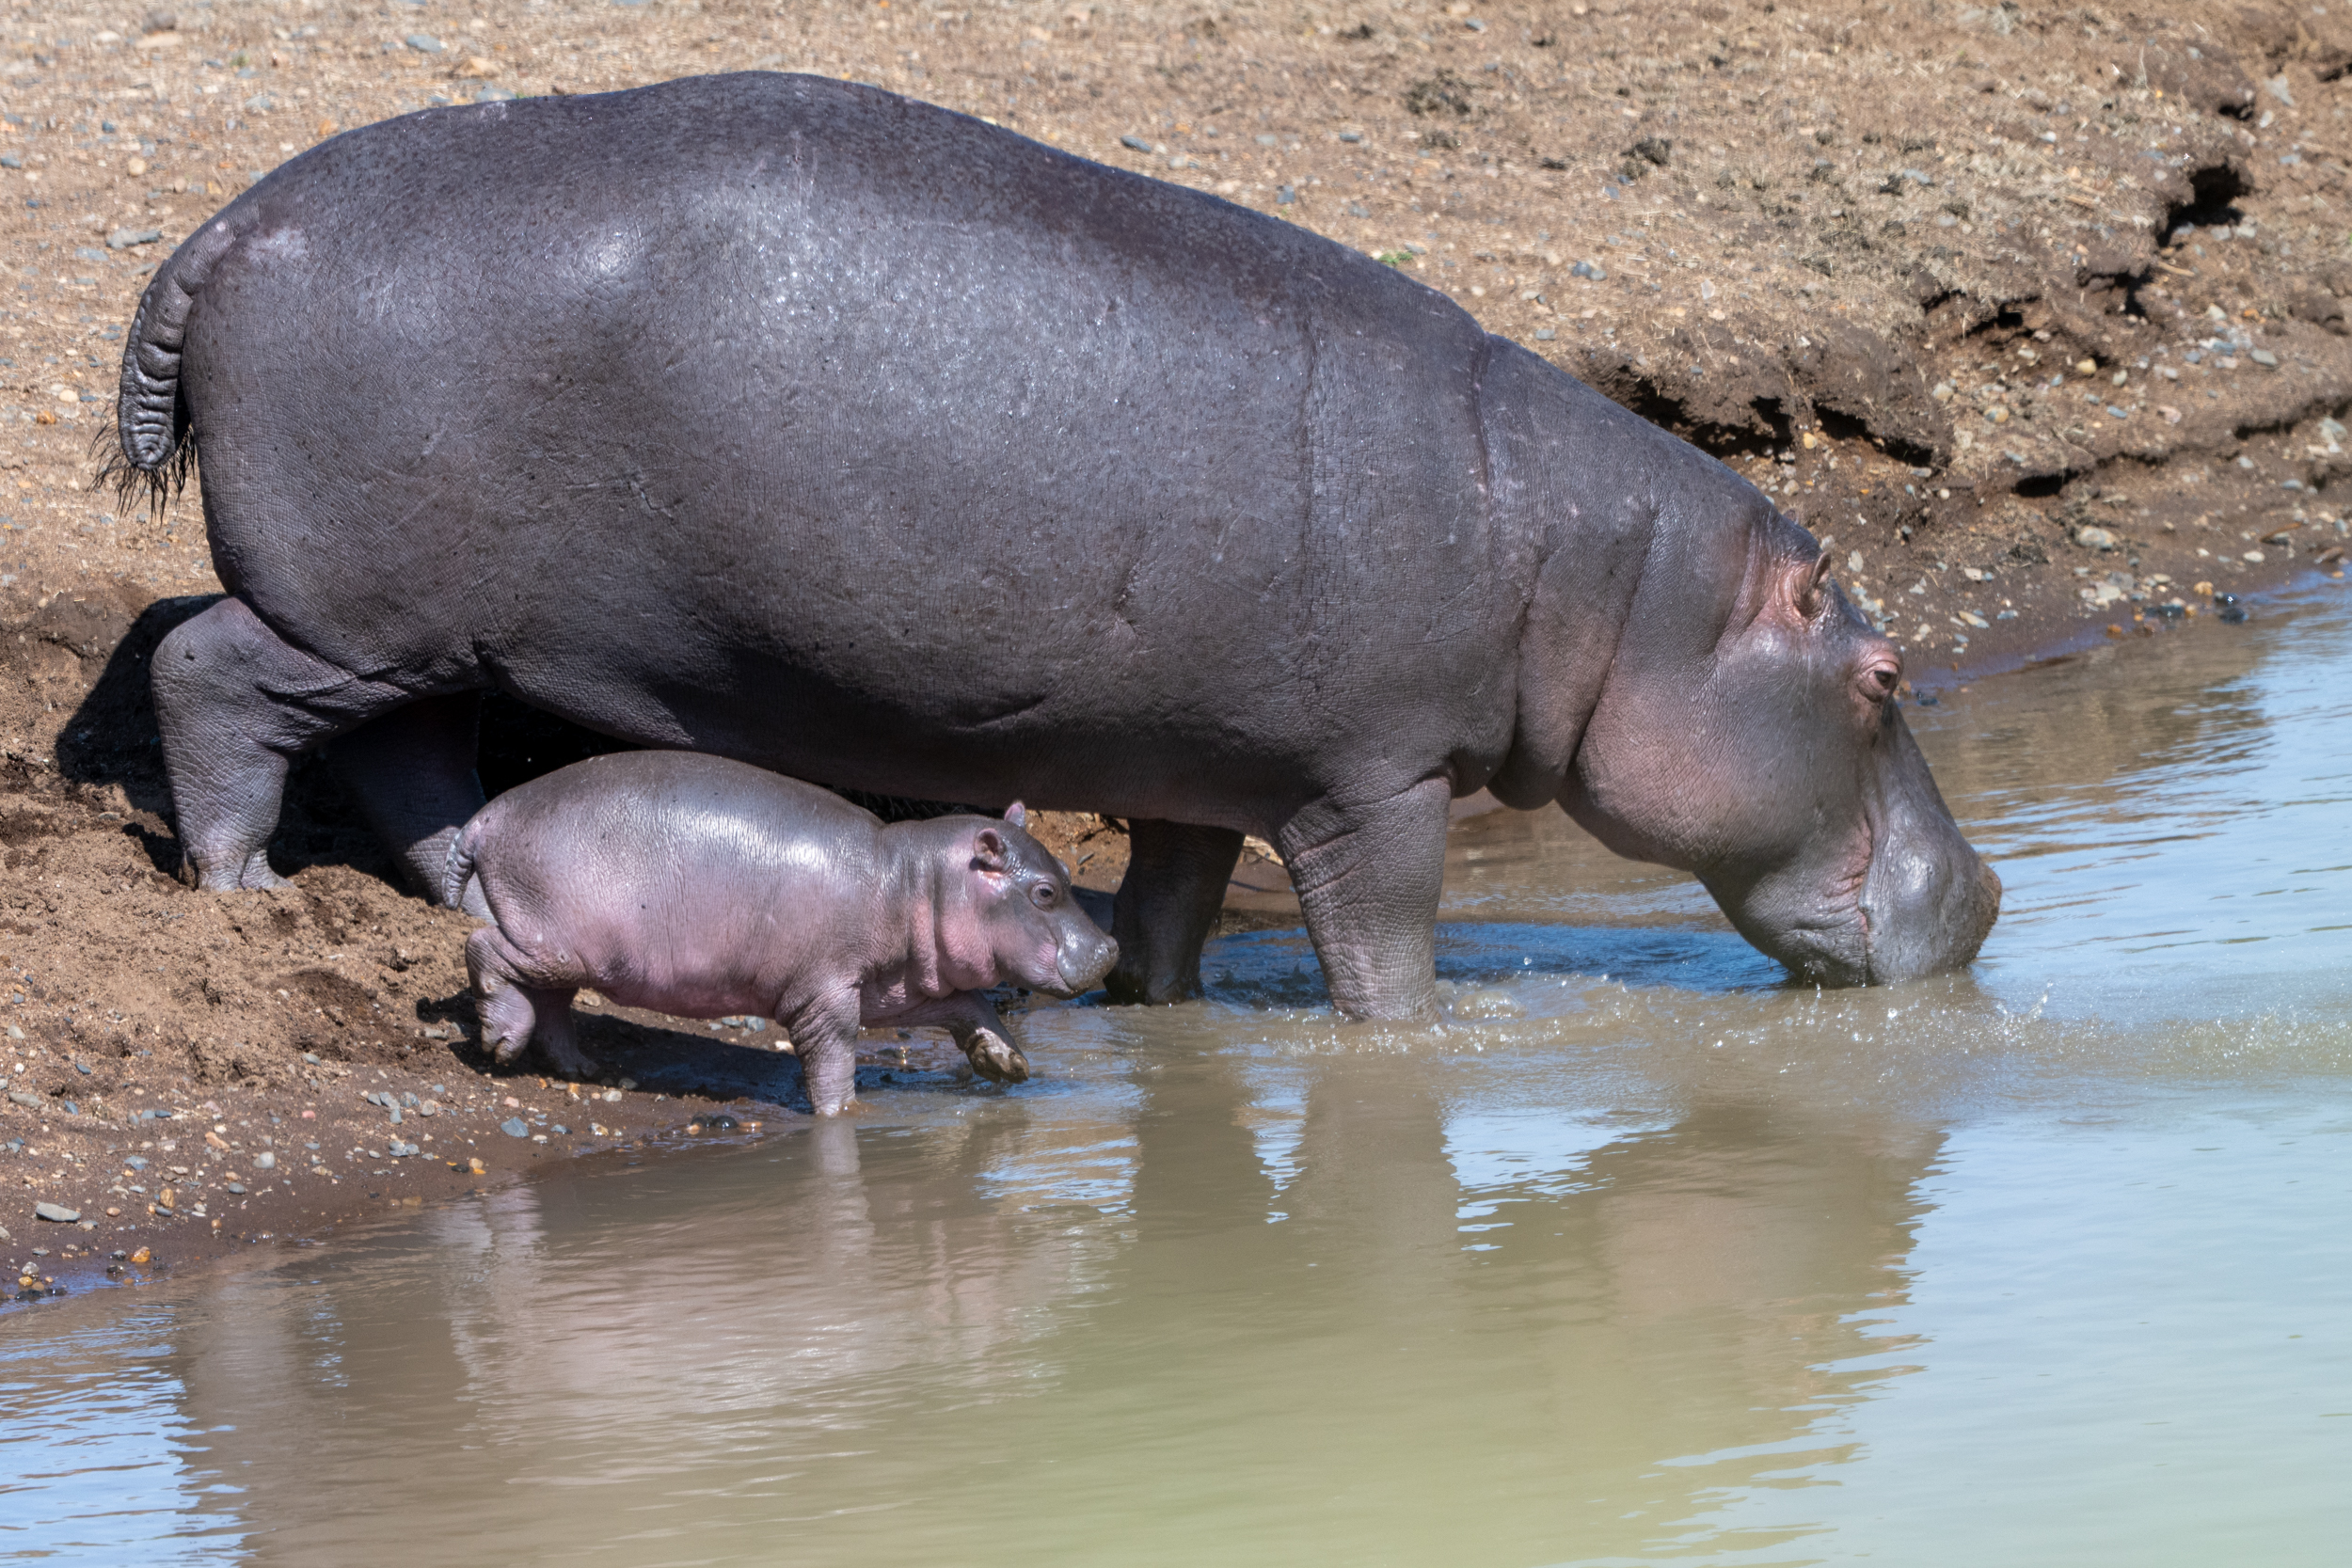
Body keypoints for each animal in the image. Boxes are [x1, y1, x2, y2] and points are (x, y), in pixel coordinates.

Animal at [113, 72, 1998, 1019]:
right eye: (1888, 668)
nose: (1986, 898)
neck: (1603, 589)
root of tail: (224, 226)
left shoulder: (1206, 763)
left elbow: (1171, 912)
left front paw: (1139, 1011)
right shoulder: (1374, 779)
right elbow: (1385, 960)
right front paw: (1410, 1042)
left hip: (440, 622)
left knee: (412, 751)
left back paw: (445, 887)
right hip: (352, 606)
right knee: (209, 671)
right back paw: (239, 886)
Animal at [446, 752, 1117, 1112]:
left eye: (1063, 874)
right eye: (1044, 892)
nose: (1111, 947)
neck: (912, 879)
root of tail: (486, 815)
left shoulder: (897, 986)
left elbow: (971, 1003)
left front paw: (1007, 1063)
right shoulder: (825, 996)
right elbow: (833, 1053)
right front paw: (843, 1113)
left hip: (566, 949)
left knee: (552, 1002)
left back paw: (584, 1069)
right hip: (557, 942)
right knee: (485, 951)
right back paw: (500, 1045)